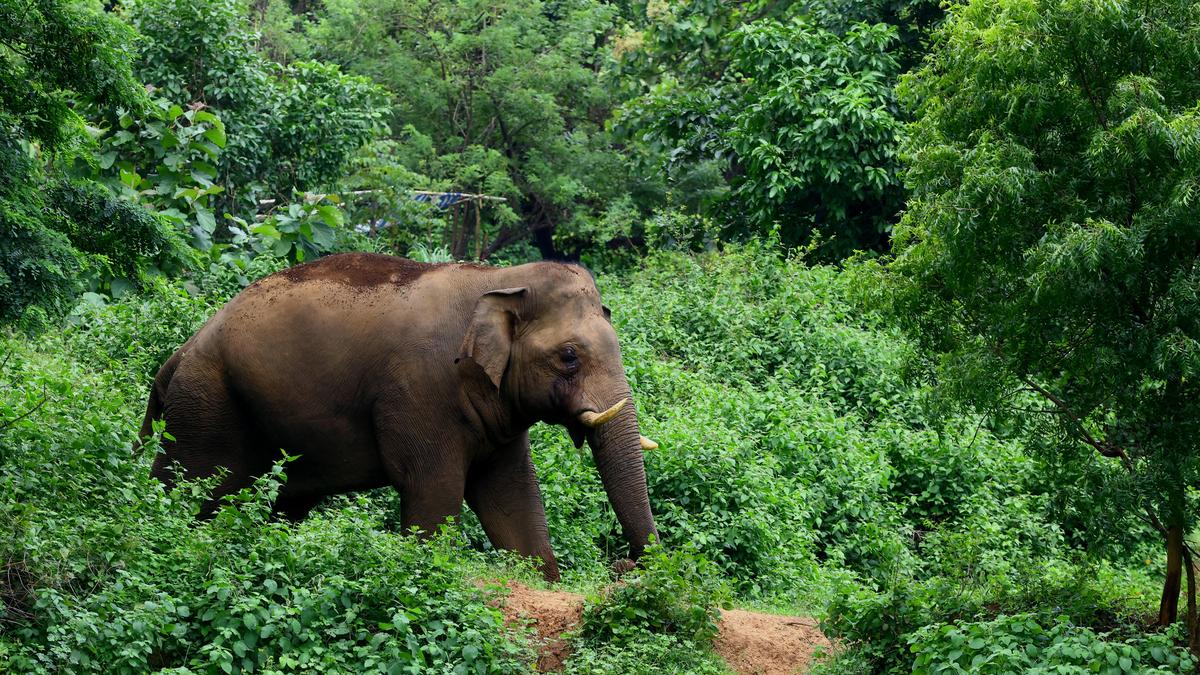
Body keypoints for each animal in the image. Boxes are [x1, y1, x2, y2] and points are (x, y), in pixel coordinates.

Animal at [139, 252, 658, 581]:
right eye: (569, 357)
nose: (623, 566)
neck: (501, 278)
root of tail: (178, 355)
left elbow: (513, 495)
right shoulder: (420, 390)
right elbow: (434, 489)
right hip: (208, 404)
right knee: (192, 488)